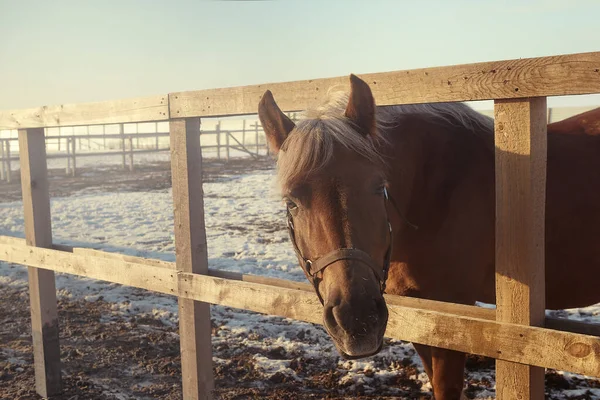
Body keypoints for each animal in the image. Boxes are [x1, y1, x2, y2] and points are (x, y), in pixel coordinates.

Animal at [256, 76, 600, 400]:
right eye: (291, 201)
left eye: (378, 186)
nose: (357, 321)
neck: (437, 188)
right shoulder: (419, 307)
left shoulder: (452, 309)